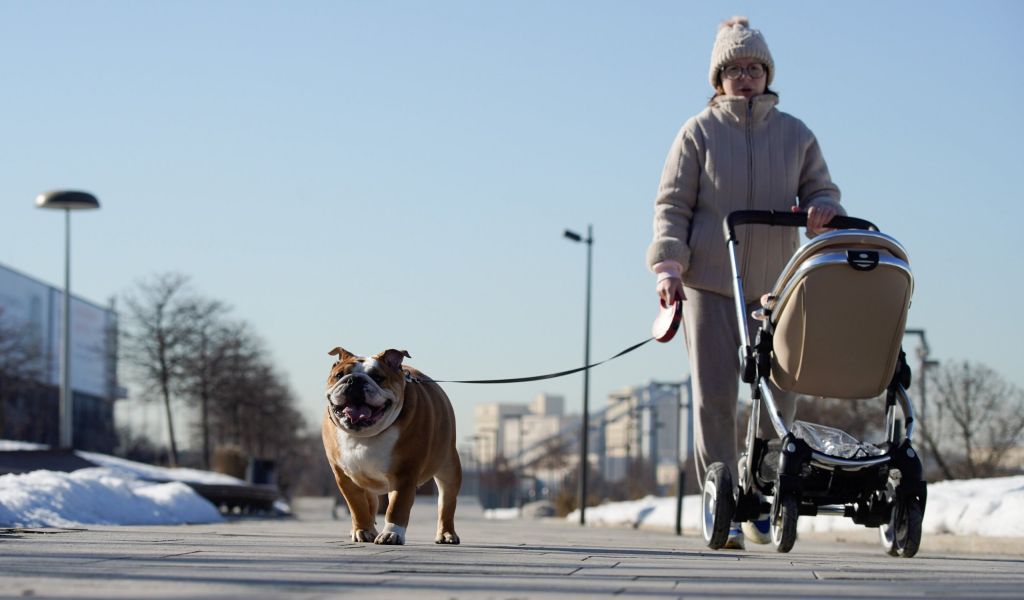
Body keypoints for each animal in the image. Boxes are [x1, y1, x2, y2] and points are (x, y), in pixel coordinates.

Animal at [321, 344, 462, 544]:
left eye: (378, 377)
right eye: (339, 375)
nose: (355, 380)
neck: (365, 436)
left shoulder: (404, 473)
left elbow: (397, 507)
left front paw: (391, 534)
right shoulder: (344, 476)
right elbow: (357, 506)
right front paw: (363, 530)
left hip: (449, 467)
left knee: (446, 503)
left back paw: (446, 534)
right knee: (370, 503)